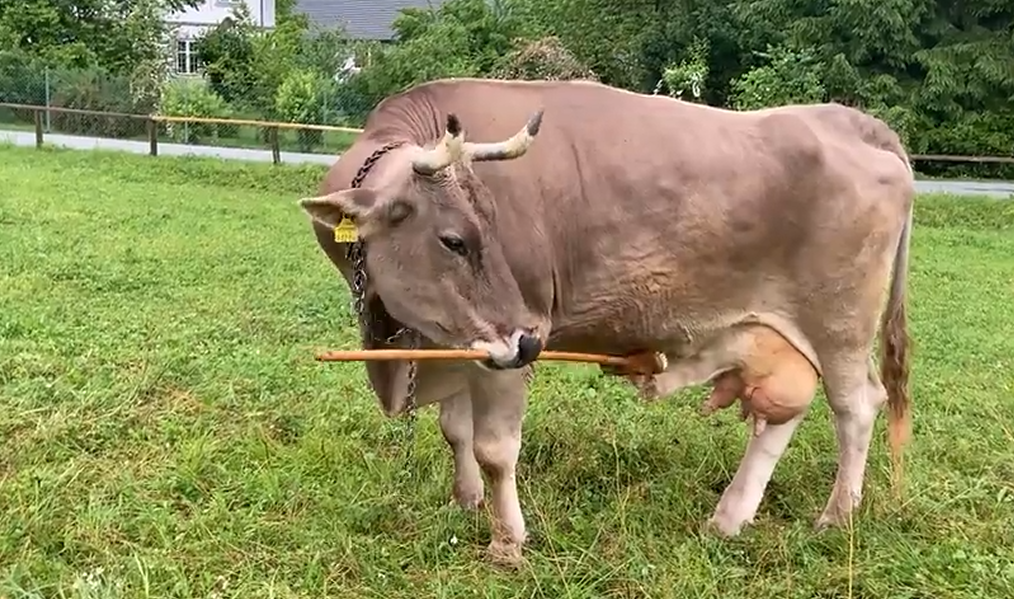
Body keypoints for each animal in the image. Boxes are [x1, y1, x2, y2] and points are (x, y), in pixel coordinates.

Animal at [298, 78, 914, 566]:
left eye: (494, 225)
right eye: (454, 240)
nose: (529, 343)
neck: (400, 346)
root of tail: (848, 119)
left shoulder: (506, 345)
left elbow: (495, 449)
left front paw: (506, 542)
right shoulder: (458, 340)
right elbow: (456, 430)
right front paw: (466, 502)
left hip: (840, 325)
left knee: (857, 407)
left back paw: (836, 516)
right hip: (782, 334)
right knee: (783, 411)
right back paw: (730, 517)